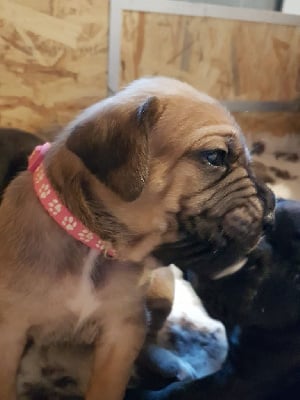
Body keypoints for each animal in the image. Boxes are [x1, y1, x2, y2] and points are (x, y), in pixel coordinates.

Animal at [0, 76, 274, 400]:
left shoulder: (122, 329)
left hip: (161, 291)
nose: (271, 210)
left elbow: (108, 385)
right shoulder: (9, 331)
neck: (95, 243)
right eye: (214, 156)